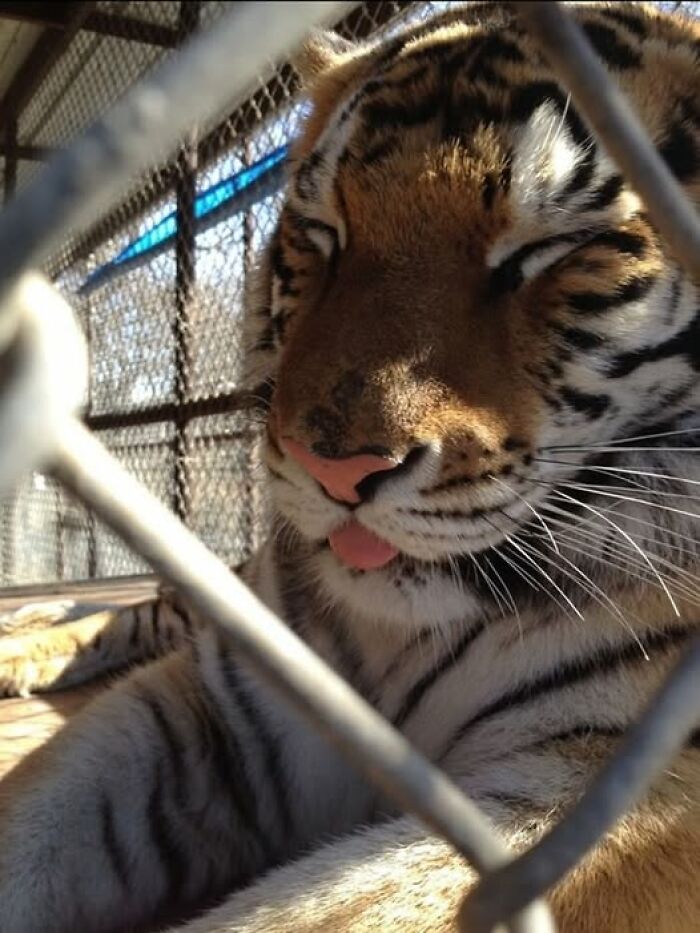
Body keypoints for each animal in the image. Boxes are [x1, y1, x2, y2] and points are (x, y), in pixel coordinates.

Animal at [1, 2, 699, 931]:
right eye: (323, 235)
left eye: (553, 250)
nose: (333, 470)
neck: (399, 633)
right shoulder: (232, 702)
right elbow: (35, 817)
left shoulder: (620, 790)